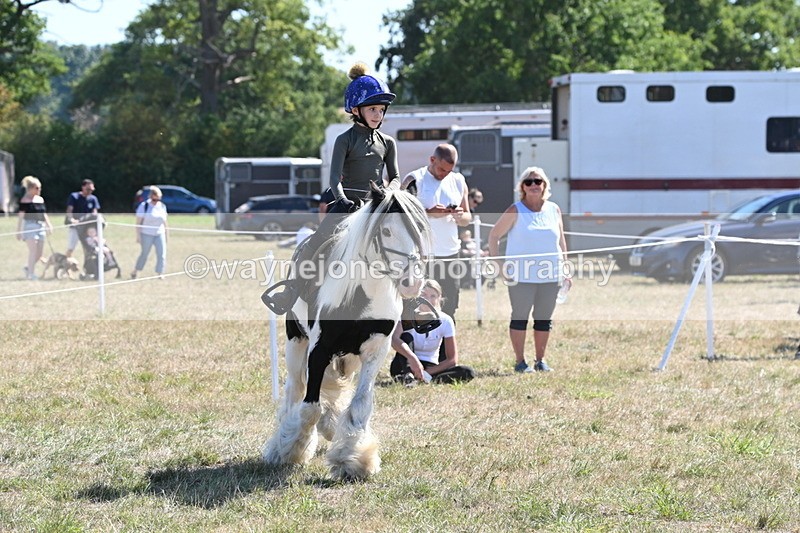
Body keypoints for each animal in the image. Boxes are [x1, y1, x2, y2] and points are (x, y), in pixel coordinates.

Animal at [261, 183, 430, 480]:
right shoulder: (319, 350)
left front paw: (354, 460)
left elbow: (360, 405)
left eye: (419, 228)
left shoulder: (375, 351)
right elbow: (309, 408)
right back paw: (285, 438)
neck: (361, 294)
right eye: (386, 231)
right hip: (296, 343)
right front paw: (292, 450)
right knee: (294, 389)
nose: (412, 283)